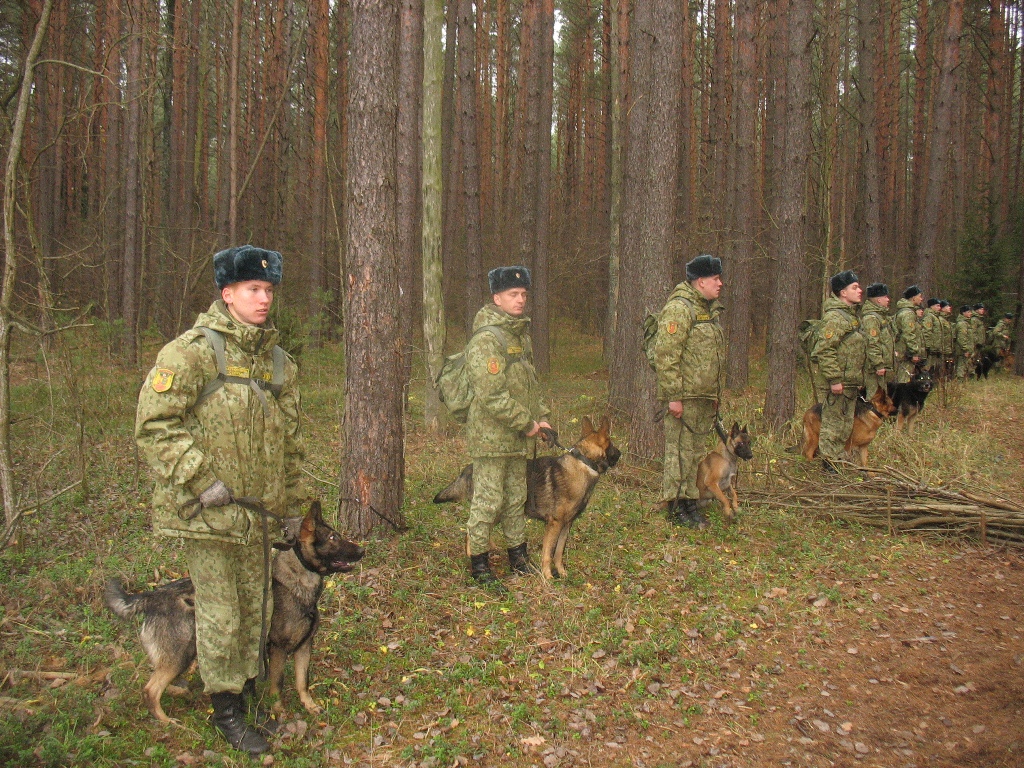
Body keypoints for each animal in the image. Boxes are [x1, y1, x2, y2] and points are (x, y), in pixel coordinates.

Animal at [105, 501, 362, 724]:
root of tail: (151, 597)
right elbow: (277, 684)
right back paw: (167, 721)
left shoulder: (304, 646)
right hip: (180, 654)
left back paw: (180, 693)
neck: (295, 583)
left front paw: (309, 705)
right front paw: (279, 711)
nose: (362, 550)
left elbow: (302, 682)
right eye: (334, 538)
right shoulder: (278, 649)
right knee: (150, 690)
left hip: (184, 653)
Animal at [432, 417, 614, 581]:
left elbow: (558, 553)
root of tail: (468, 469)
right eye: (613, 446)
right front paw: (547, 576)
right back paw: (475, 559)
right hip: (492, 508)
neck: (583, 463)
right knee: (471, 531)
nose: (619, 454)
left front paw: (561, 573)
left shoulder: (567, 524)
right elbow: (548, 554)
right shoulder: (554, 524)